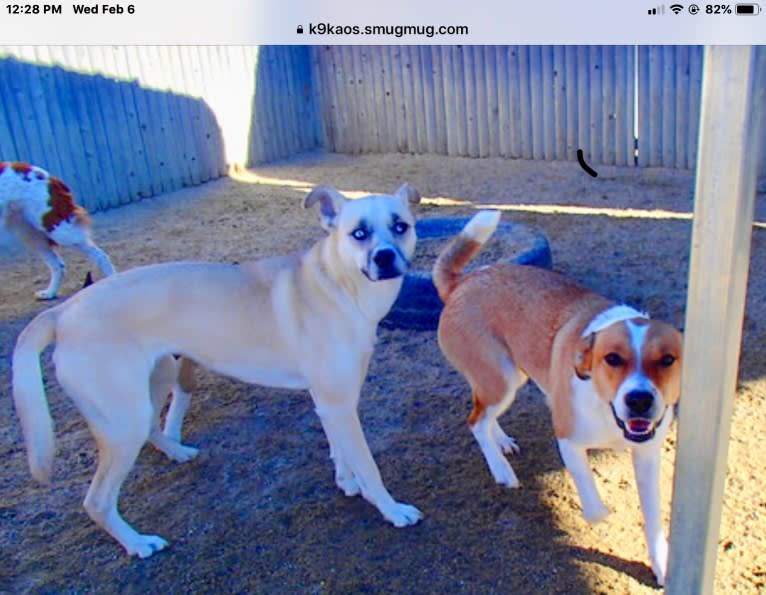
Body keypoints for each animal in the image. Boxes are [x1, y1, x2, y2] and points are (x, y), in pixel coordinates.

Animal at [0, 162, 117, 298]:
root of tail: (49, 177)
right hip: (32, 236)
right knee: (58, 265)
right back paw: (50, 293)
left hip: (59, 231)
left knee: (100, 255)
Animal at [12, 185, 424, 560]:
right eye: (359, 233)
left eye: (400, 226)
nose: (386, 258)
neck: (339, 284)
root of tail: (63, 312)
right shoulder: (338, 404)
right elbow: (368, 464)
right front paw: (390, 509)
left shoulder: (328, 402)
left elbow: (341, 452)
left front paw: (346, 481)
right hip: (122, 419)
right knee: (97, 501)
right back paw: (138, 543)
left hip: (153, 383)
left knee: (152, 427)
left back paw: (177, 451)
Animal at [432, 211, 684, 588]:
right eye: (612, 359)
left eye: (667, 360)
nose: (639, 400)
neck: (608, 413)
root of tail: (462, 282)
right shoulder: (569, 441)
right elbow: (594, 507)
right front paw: (601, 514)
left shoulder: (647, 456)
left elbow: (654, 520)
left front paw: (662, 565)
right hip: (502, 379)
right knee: (475, 421)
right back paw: (501, 470)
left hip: (510, 375)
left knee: (484, 416)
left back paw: (502, 442)